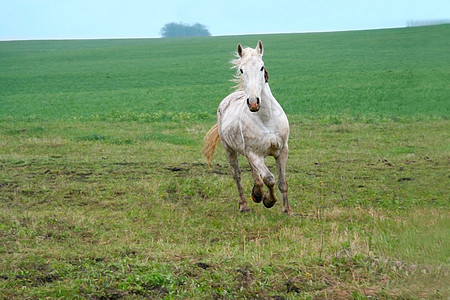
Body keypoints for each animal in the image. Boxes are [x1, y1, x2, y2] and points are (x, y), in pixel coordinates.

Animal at [204, 41, 292, 214]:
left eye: (262, 67)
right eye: (241, 70)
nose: (253, 102)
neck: (266, 119)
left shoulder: (282, 150)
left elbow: (282, 182)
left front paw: (287, 211)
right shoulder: (254, 153)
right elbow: (269, 178)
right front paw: (268, 201)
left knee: (255, 174)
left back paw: (256, 193)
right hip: (230, 150)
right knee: (237, 175)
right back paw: (244, 205)